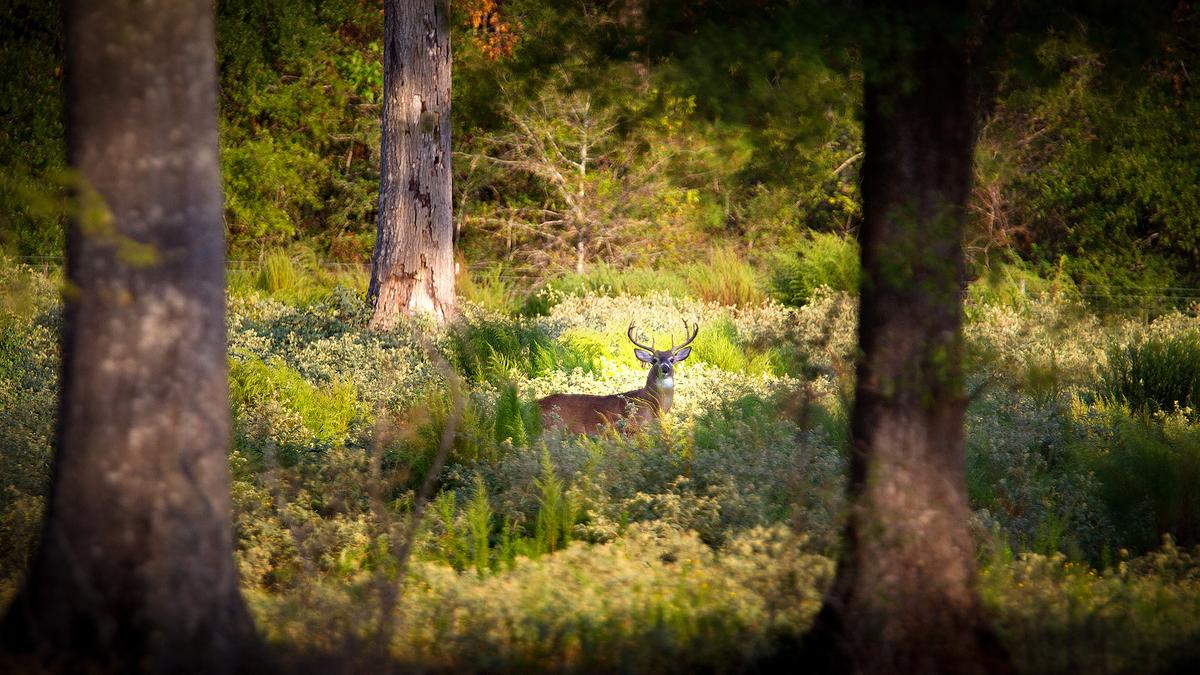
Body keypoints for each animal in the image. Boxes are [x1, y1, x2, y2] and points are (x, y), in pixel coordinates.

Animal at [537, 321, 699, 434]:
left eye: (672, 359)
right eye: (654, 360)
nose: (665, 368)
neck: (654, 406)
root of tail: (533, 406)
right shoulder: (634, 427)